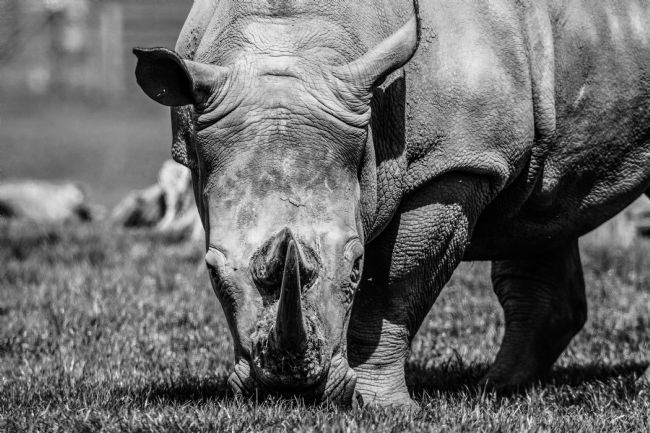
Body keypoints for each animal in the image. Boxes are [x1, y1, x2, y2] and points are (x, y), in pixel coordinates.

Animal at [133, 0, 650, 407]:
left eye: (356, 265)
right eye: (212, 270)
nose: (287, 391)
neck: (292, 37)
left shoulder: (456, 163)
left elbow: (394, 288)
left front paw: (381, 407)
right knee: (540, 208)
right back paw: (496, 390)